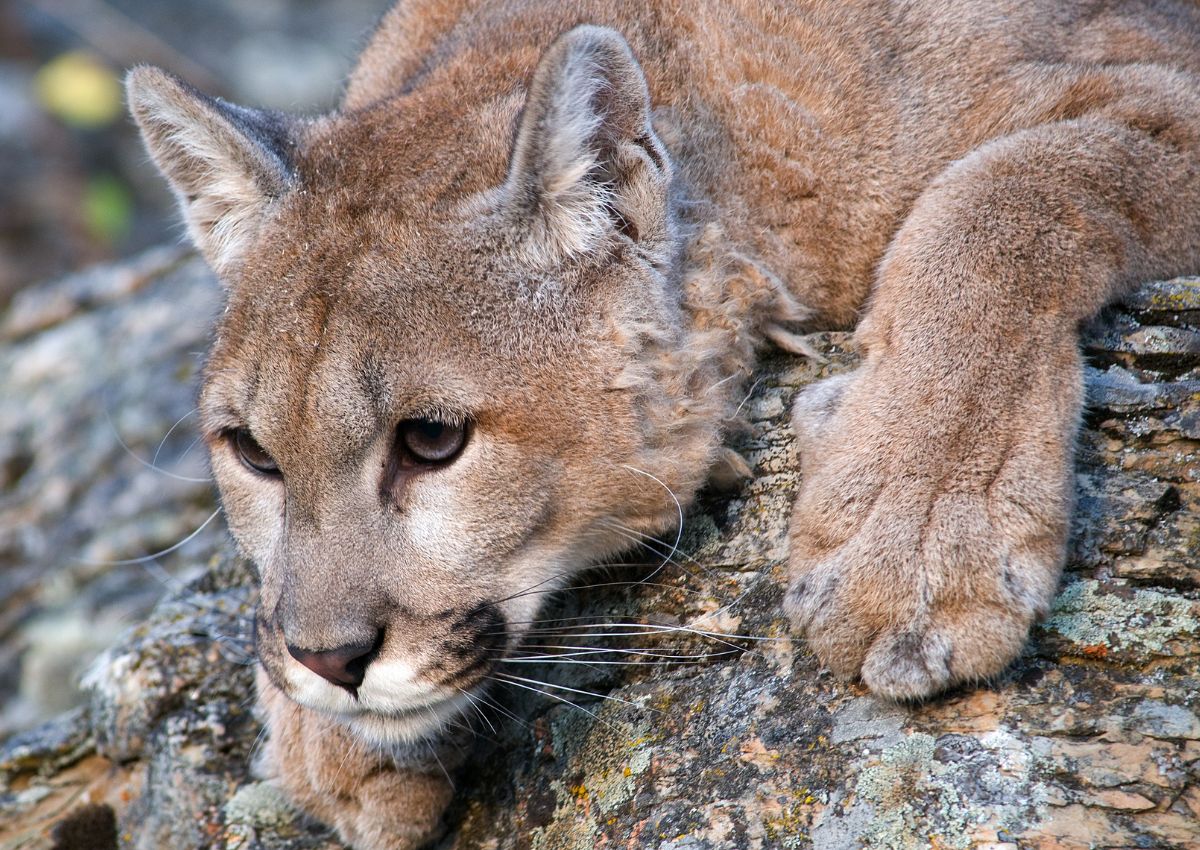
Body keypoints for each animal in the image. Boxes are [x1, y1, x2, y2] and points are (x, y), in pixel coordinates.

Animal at [124, 1, 1200, 845]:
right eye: (253, 453)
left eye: (432, 441)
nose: (330, 660)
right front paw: (323, 742)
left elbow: (1010, 192)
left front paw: (921, 544)